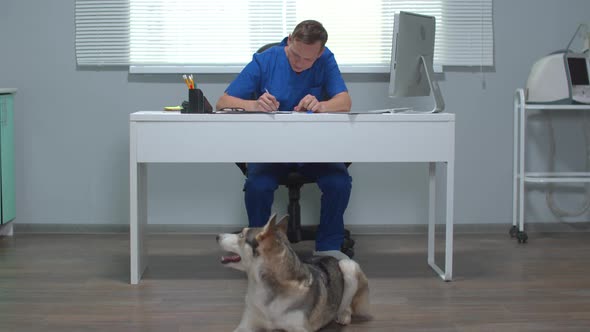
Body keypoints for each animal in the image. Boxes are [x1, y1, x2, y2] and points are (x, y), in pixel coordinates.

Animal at [217, 214, 372, 330]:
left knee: (347, 305)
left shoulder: (300, 328)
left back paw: (343, 315)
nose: (217, 236)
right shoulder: (246, 325)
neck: (262, 286)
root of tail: (330, 256)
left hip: (348, 266)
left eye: (241, 235)